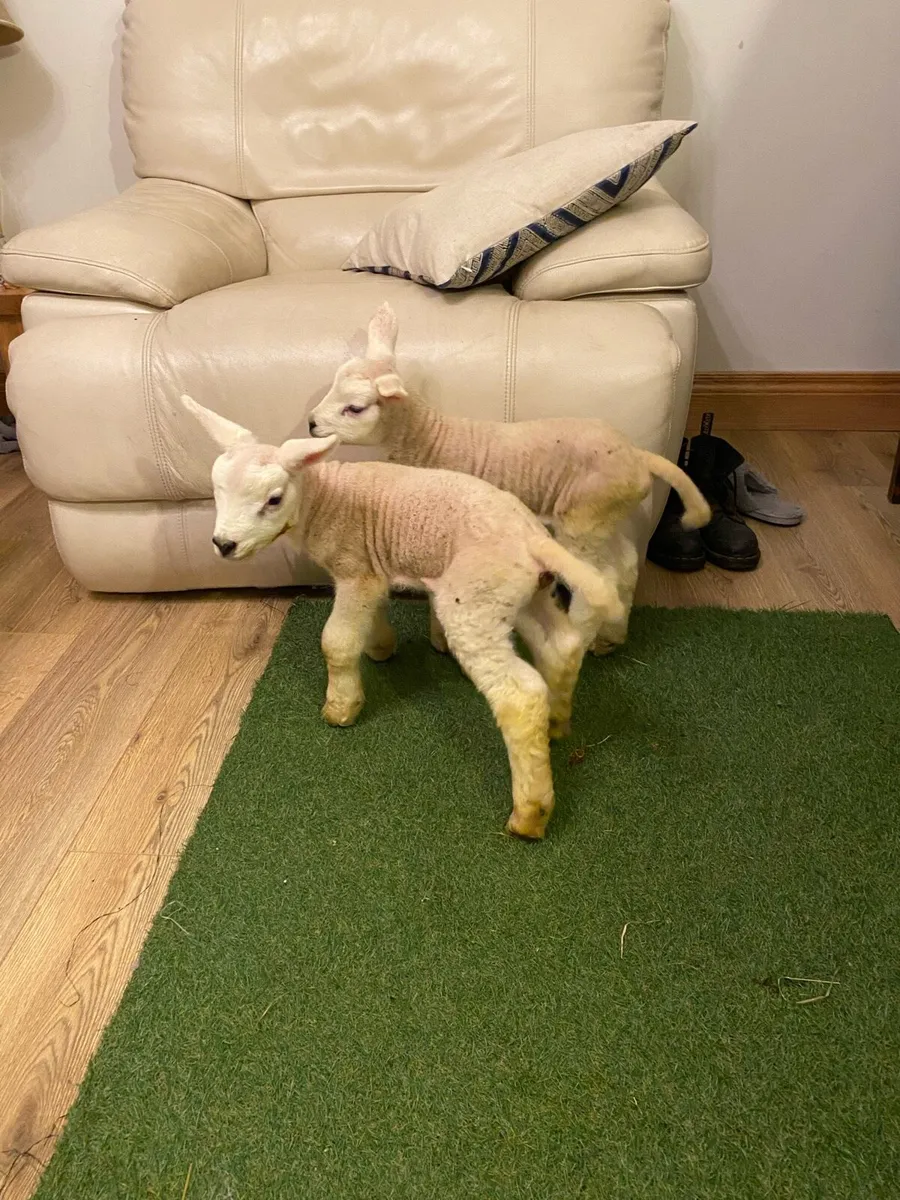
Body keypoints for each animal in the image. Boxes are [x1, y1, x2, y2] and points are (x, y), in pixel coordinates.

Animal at [181, 395, 625, 840]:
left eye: (273, 499)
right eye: (216, 492)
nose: (224, 544)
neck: (324, 501)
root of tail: (532, 537)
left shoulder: (353, 569)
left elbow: (337, 642)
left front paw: (341, 707)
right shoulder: (370, 570)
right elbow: (372, 613)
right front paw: (380, 647)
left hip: (475, 600)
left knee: (520, 696)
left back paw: (530, 813)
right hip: (521, 595)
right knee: (562, 646)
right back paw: (556, 724)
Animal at [307, 303, 710, 656]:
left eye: (355, 408)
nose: (311, 423)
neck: (431, 439)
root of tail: (637, 455)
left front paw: (440, 641)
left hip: (584, 517)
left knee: (596, 582)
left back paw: (580, 641)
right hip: (604, 516)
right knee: (625, 566)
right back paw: (610, 639)